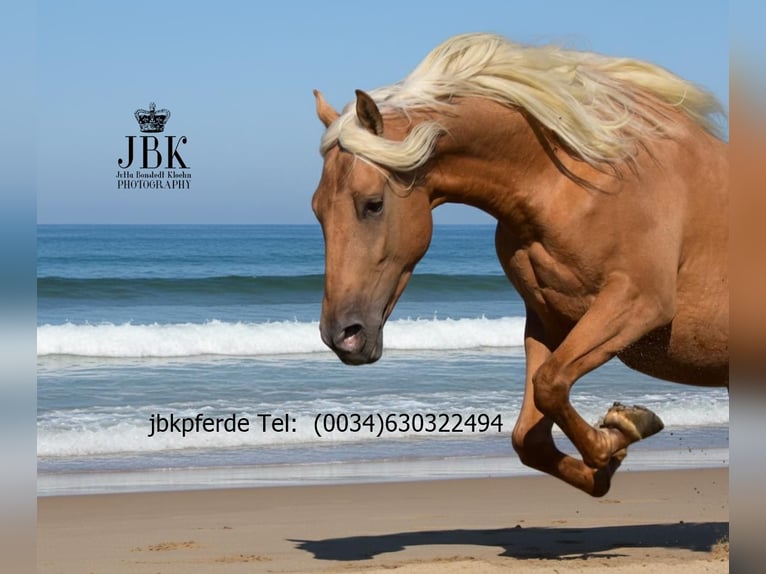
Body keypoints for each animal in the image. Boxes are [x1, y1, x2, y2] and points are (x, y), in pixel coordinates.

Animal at [311, 33, 728, 497]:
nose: (342, 336)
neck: (577, 182)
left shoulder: (640, 301)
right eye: (317, 210)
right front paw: (616, 444)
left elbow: (550, 385)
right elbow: (531, 434)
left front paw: (626, 427)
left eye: (373, 204)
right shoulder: (549, 320)